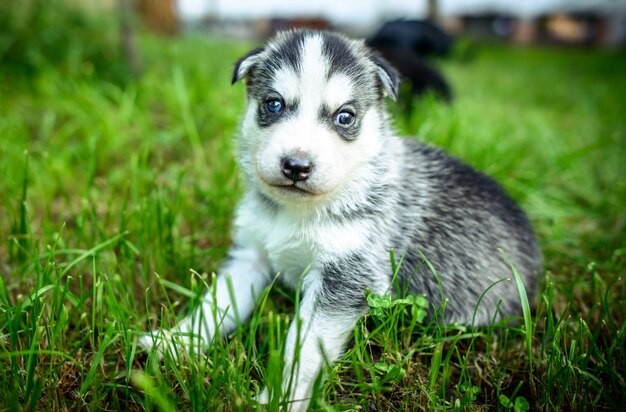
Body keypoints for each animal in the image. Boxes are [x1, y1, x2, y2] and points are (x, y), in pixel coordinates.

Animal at [139, 30, 540, 410]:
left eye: (344, 116)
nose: (296, 166)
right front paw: (172, 342)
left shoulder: (344, 279)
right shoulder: (251, 256)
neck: (298, 212)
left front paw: (282, 398)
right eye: (273, 104)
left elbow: (303, 351)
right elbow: (215, 303)